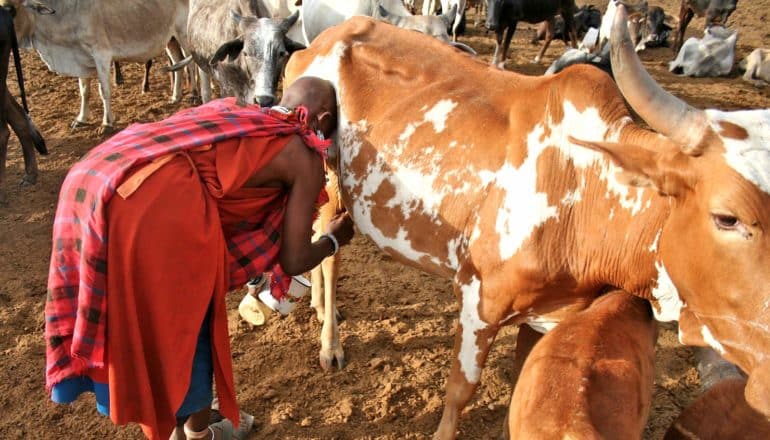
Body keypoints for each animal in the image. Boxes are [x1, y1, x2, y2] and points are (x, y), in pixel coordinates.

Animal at [1, 0, 189, 134]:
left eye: (11, 10)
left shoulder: (101, 55)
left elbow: (104, 91)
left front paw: (107, 123)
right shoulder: (81, 58)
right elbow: (84, 91)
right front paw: (81, 119)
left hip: (184, 33)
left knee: (192, 65)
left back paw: (193, 95)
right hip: (170, 38)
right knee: (178, 60)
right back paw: (175, 96)